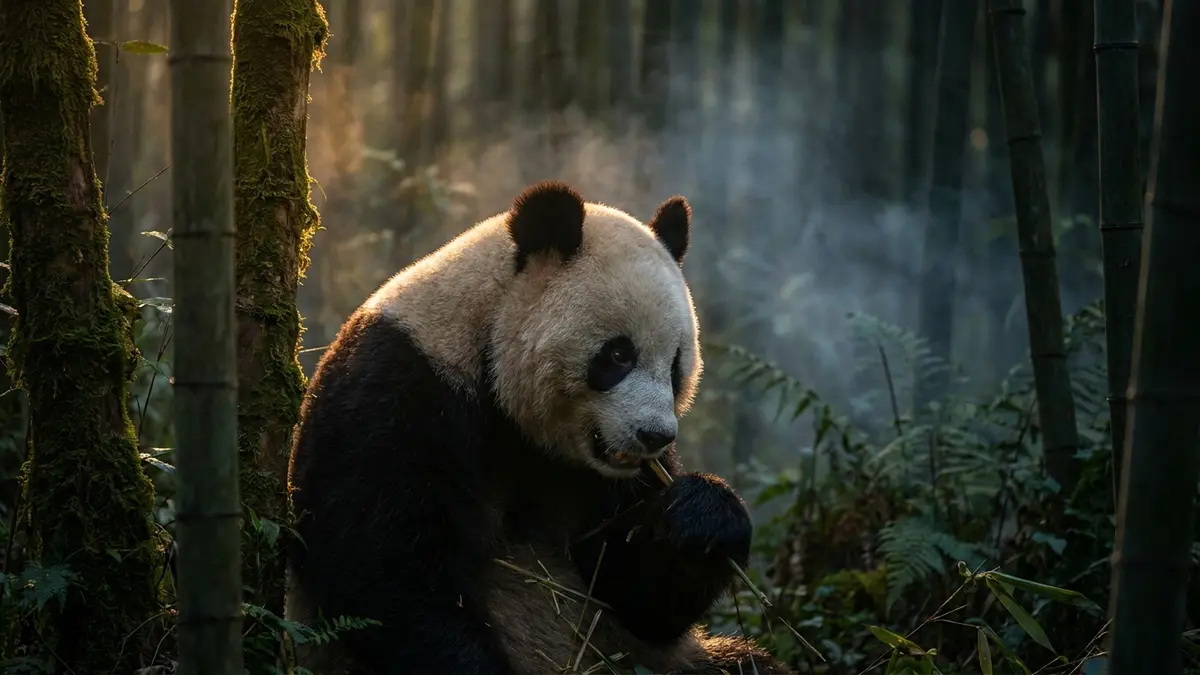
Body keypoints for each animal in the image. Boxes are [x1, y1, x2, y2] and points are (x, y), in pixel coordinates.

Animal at [285, 181, 792, 675]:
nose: (656, 437)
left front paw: (702, 517)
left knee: (747, 664)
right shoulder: (401, 390)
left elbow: (635, 595)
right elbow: (386, 571)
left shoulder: (596, 478)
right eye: (618, 355)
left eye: (675, 366)